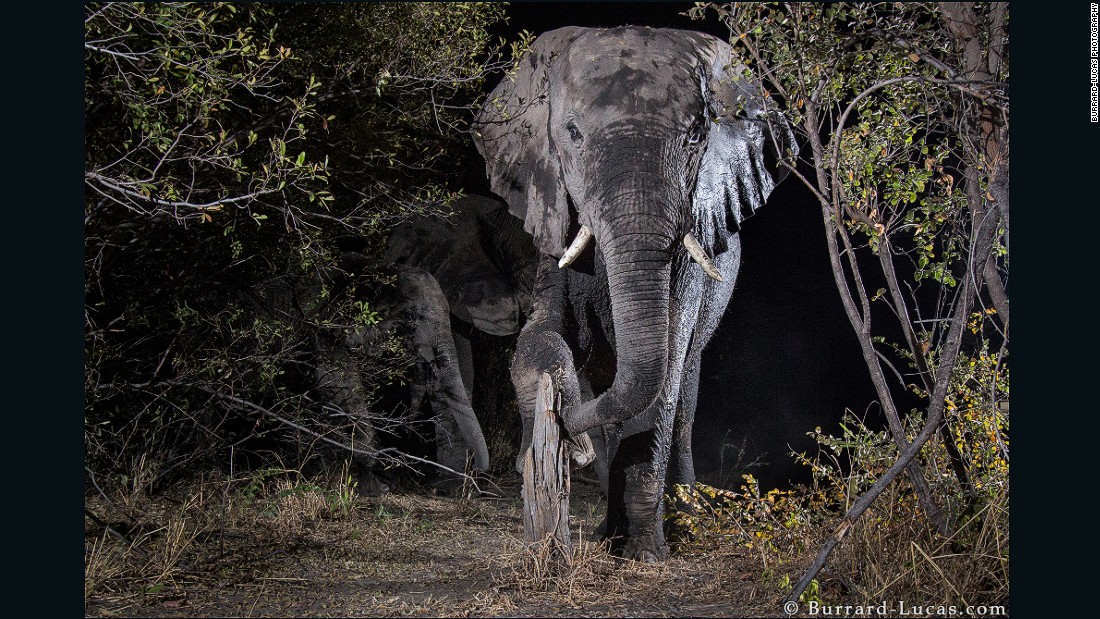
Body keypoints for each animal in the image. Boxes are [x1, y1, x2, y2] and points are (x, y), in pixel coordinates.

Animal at [473, 26, 800, 562]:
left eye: (695, 136)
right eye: (572, 133)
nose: (570, 436)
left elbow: (662, 378)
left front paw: (645, 554)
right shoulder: (553, 219)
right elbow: (539, 335)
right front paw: (565, 425)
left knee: (684, 399)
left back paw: (681, 524)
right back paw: (607, 530)